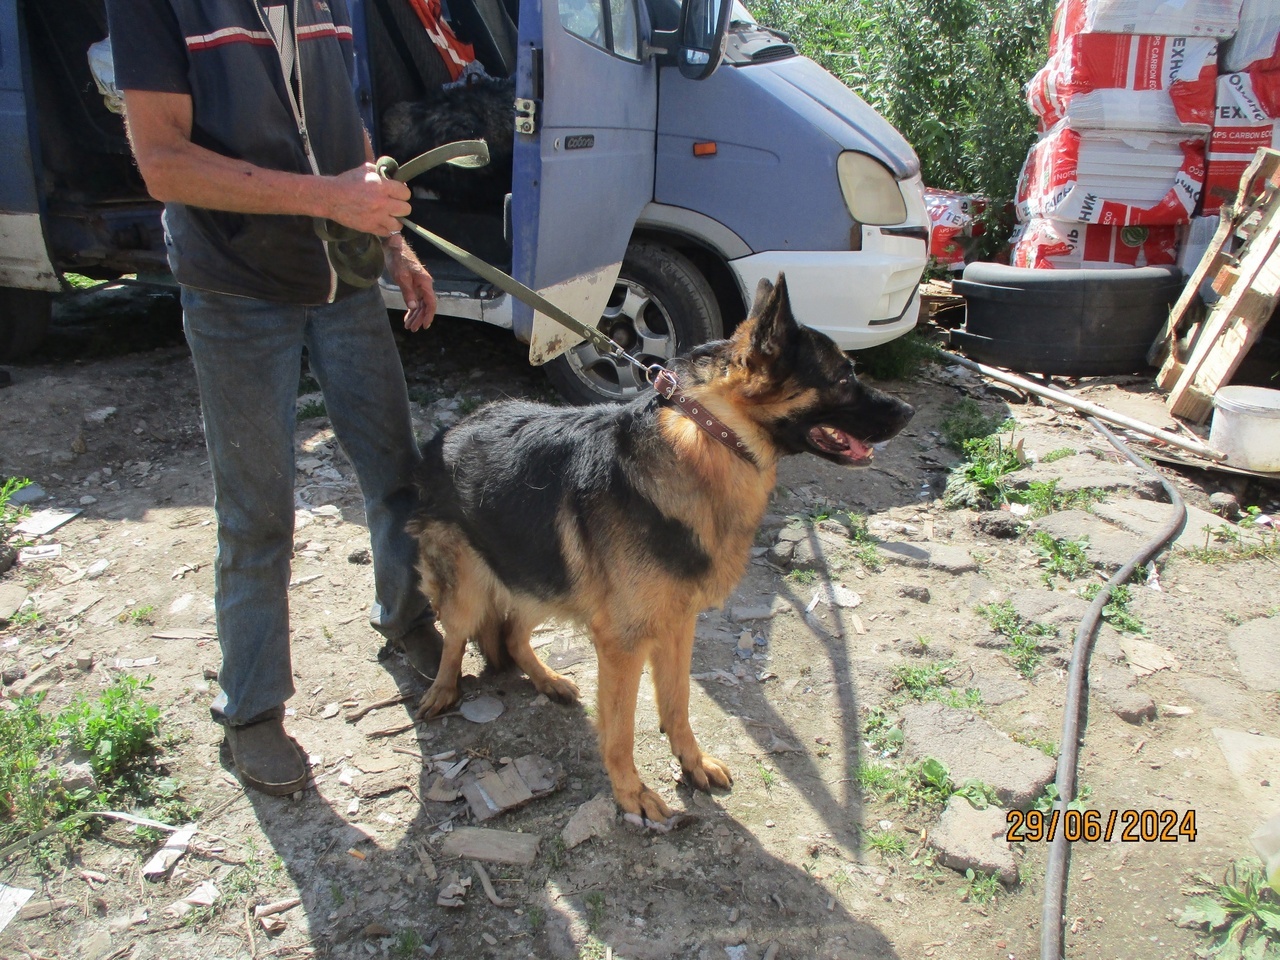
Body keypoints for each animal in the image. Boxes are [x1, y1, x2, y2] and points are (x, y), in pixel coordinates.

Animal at [404, 277, 916, 829]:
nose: (909, 412)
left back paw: (547, 679)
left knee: (513, 633)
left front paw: (692, 763)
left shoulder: (677, 623)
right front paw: (632, 793)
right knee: (457, 636)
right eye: (843, 376)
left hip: (536, 576)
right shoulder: (623, 643)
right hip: (471, 586)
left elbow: (678, 704)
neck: (712, 436)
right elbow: (621, 729)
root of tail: (446, 433)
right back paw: (442, 690)